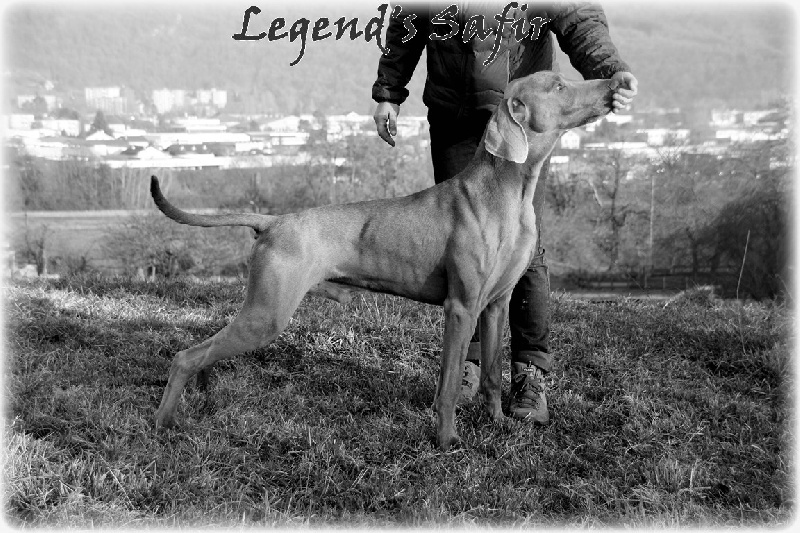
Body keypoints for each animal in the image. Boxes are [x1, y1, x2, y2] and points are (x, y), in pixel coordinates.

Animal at [151, 71, 616, 450]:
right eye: (559, 85)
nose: (615, 83)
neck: (509, 194)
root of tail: (273, 221)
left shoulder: (496, 305)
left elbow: (492, 375)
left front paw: (498, 424)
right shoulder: (460, 308)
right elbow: (449, 386)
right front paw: (446, 441)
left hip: (260, 314)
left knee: (206, 353)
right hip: (266, 315)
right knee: (185, 356)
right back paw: (164, 421)